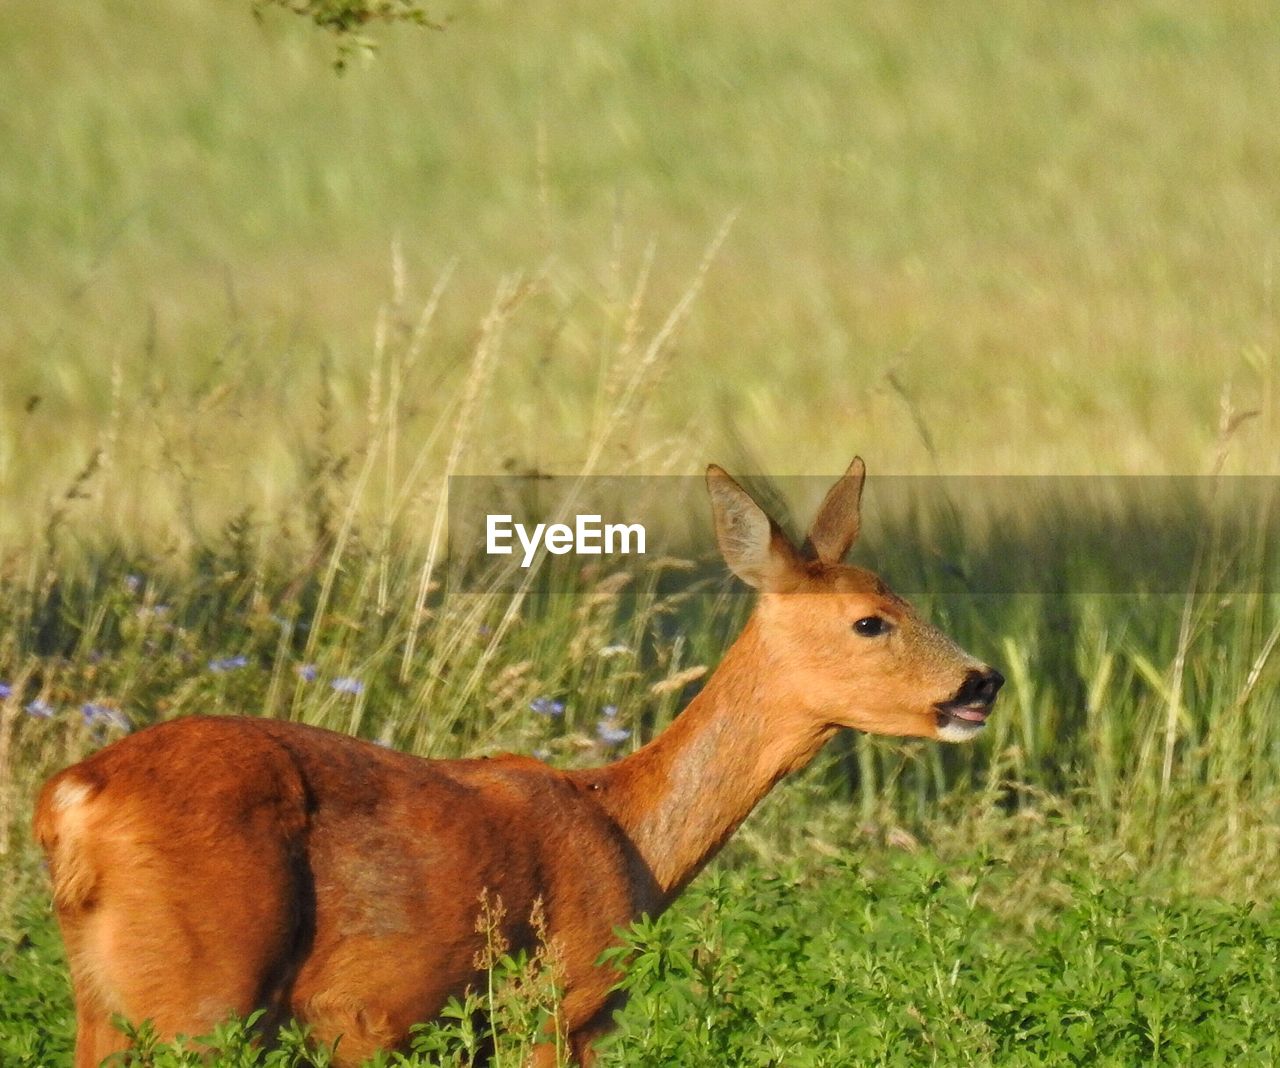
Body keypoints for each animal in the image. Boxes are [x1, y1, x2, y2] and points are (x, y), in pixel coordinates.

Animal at [35, 456, 1003, 1067]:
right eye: (871, 620)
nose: (982, 681)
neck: (632, 834)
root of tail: (73, 799)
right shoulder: (560, 1001)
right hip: (201, 988)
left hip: (103, 994)